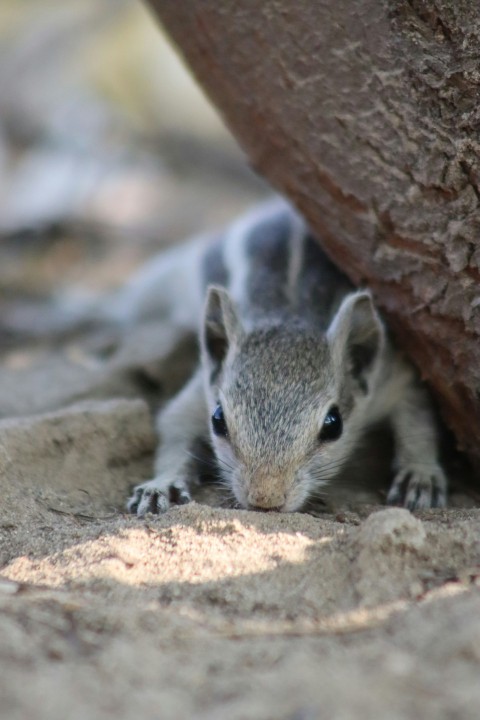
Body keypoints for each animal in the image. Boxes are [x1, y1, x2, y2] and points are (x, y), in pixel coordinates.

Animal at [125, 197, 448, 516]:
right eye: (217, 419)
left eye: (334, 424)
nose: (265, 499)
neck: (291, 314)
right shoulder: (201, 389)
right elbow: (174, 423)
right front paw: (162, 483)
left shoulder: (389, 377)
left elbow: (417, 416)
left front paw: (419, 474)